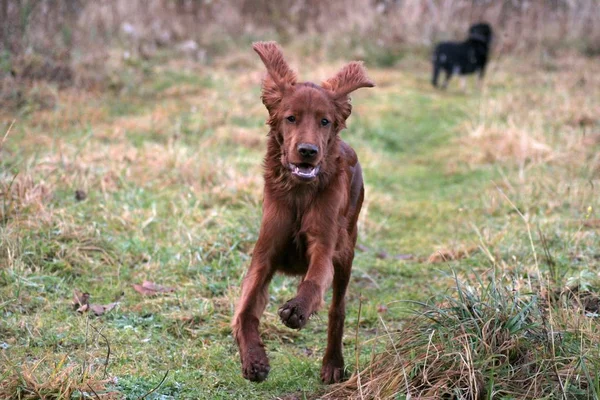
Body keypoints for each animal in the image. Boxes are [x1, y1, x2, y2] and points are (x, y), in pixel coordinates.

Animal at [232, 41, 372, 384]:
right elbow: (244, 312)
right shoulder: (265, 254)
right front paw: (254, 360)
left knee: (338, 308)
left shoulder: (324, 245)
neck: (299, 194)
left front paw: (297, 308)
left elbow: (314, 281)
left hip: (347, 250)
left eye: (324, 121)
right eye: (291, 118)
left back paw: (333, 363)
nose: (308, 151)